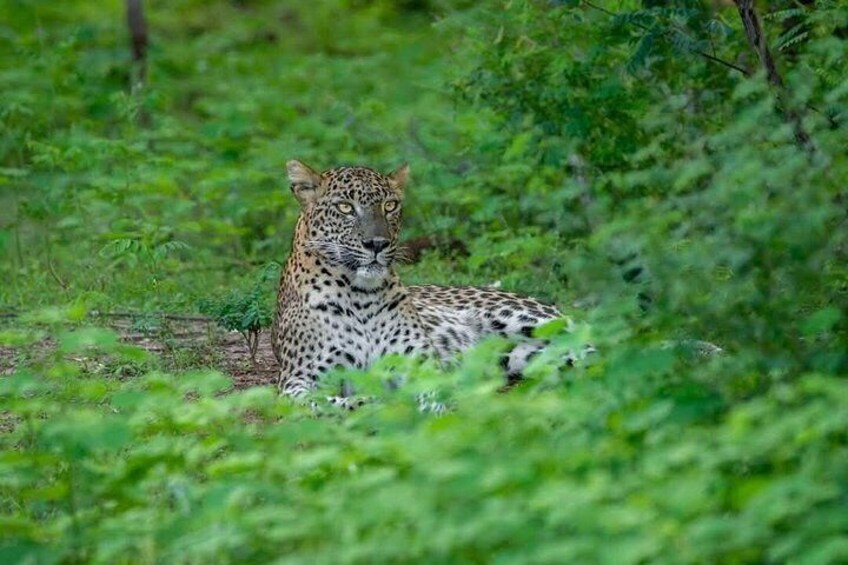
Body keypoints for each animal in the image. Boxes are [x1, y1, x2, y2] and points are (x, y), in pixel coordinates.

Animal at [272, 160, 581, 405]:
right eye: (345, 207)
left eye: (390, 205)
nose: (378, 244)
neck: (360, 294)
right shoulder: (299, 381)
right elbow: (333, 404)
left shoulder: (421, 362)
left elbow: (431, 393)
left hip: (525, 319)